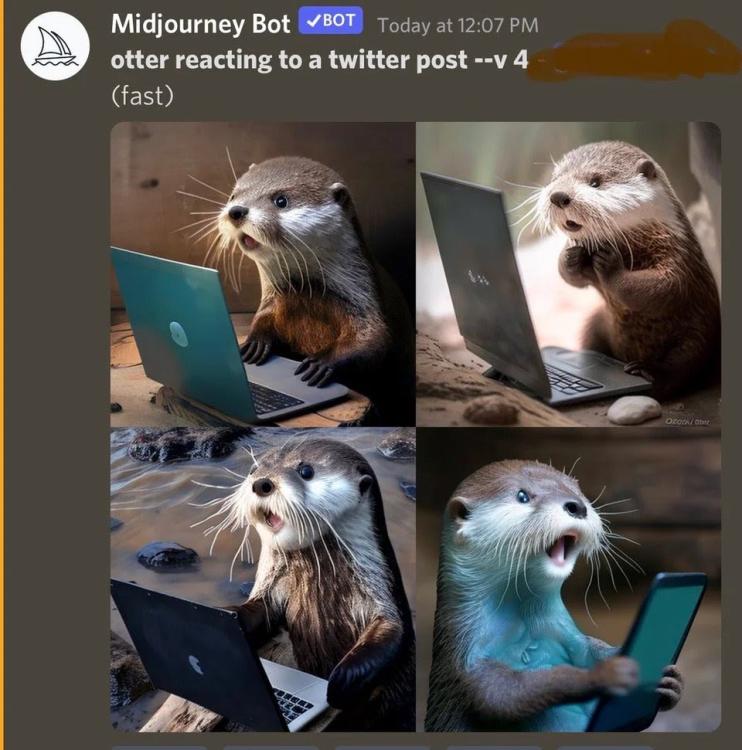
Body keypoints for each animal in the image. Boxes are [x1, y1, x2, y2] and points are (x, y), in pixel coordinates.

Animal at [208, 436, 415, 731]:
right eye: (253, 470)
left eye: (306, 471)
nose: (261, 483)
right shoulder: (272, 589)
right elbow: (257, 611)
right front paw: (224, 615)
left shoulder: (380, 593)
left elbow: (392, 631)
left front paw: (340, 681)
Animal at [216, 156, 414, 425]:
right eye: (234, 195)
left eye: (281, 200)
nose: (236, 211)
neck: (308, 294)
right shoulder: (274, 300)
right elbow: (264, 317)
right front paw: (253, 343)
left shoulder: (363, 300)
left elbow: (374, 339)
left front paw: (321, 363)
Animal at [426, 460, 683, 732]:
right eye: (522, 496)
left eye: (578, 491)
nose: (577, 506)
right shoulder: (467, 656)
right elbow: (504, 694)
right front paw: (603, 675)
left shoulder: (564, 631)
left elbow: (591, 649)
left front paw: (670, 681)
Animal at [537, 141, 720, 399]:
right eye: (555, 179)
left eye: (595, 182)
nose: (558, 195)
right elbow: (570, 277)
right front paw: (571, 256)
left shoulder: (678, 256)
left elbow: (662, 287)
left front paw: (610, 265)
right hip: (597, 323)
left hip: (697, 333)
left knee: (682, 366)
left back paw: (646, 371)